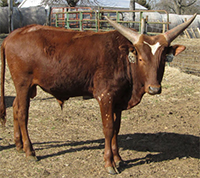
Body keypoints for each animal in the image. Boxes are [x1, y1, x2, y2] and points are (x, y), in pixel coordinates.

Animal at [0, 14, 196, 175]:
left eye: (162, 59)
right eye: (140, 58)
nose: (154, 89)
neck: (123, 59)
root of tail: (13, 35)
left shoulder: (119, 100)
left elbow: (117, 128)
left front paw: (118, 158)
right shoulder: (105, 97)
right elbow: (108, 128)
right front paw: (109, 163)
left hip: (26, 88)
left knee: (15, 107)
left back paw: (18, 145)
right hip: (23, 84)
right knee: (22, 113)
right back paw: (29, 151)